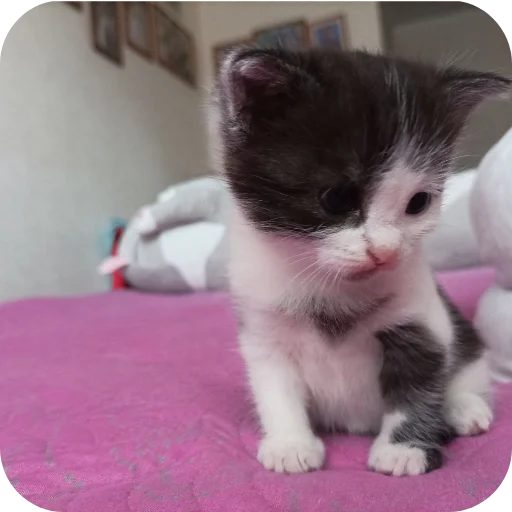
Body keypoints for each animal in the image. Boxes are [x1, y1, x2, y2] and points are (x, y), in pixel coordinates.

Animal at [209, 47, 510, 476]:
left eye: (418, 202)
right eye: (337, 198)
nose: (384, 251)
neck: (331, 285)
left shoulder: (422, 322)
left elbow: (418, 385)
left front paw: (403, 449)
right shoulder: (263, 328)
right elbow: (275, 387)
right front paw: (290, 444)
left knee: (468, 372)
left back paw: (464, 408)